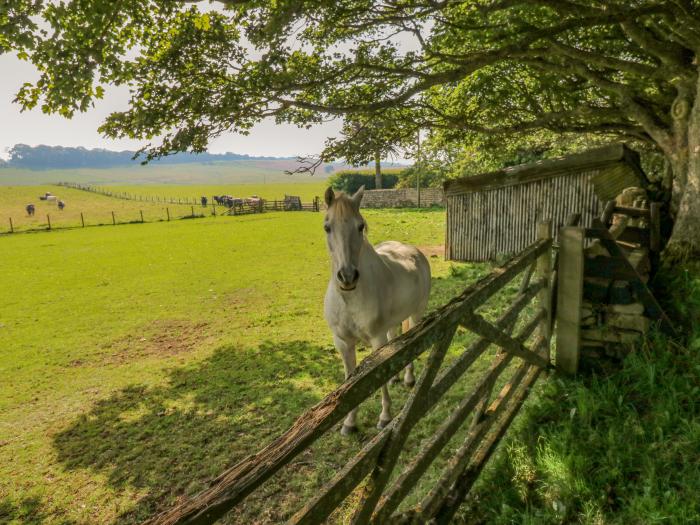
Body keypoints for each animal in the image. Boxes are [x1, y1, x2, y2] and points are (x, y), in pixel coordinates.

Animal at [320, 185, 430, 434]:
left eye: (360, 226)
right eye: (327, 226)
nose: (347, 277)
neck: (349, 299)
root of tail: (414, 251)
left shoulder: (376, 340)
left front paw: (385, 417)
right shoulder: (342, 343)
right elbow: (349, 382)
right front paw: (349, 423)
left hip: (416, 314)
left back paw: (408, 379)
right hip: (393, 323)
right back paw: (394, 378)